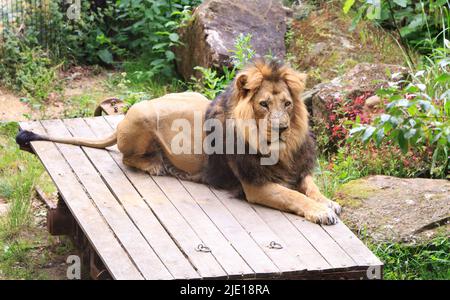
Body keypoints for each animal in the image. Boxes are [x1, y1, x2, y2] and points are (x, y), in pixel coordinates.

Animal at [16, 58, 342, 224]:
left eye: (287, 104)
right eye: (263, 105)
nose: (282, 128)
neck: (279, 150)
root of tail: (126, 114)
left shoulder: (297, 168)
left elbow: (309, 187)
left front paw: (329, 202)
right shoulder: (254, 185)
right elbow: (293, 196)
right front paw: (321, 212)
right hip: (143, 116)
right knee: (125, 157)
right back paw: (159, 166)